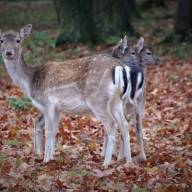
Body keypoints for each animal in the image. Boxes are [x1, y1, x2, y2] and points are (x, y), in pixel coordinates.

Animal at [0, 24, 138, 168]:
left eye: (18, 40)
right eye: (2, 40)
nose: (8, 52)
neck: (30, 82)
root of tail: (120, 67)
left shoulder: (47, 103)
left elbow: (48, 130)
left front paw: (46, 160)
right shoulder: (57, 109)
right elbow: (54, 131)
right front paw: (51, 158)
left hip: (97, 100)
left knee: (111, 124)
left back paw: (106, 163)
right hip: (116, 101)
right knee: (124, 123)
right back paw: (128, 162)